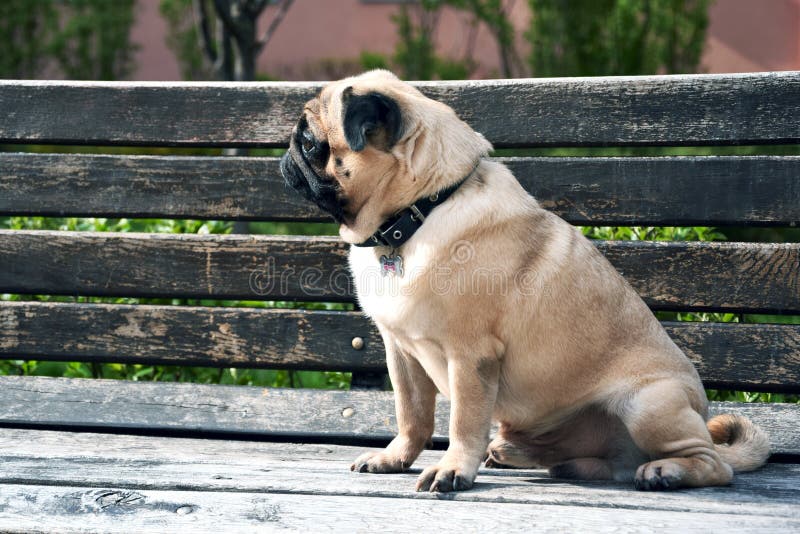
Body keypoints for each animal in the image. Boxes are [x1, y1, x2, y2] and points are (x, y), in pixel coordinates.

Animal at [280, 70, 768, 494]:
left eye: (310, 141)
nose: (286, 157)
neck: (420, 210)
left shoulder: (470, 356)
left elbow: (462, 421)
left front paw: (453, 469)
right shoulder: (401, 352)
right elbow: (412, 414)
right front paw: (395, 457)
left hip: (649, 404)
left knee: (714, 465)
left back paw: (665, 470)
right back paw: (524, 455)